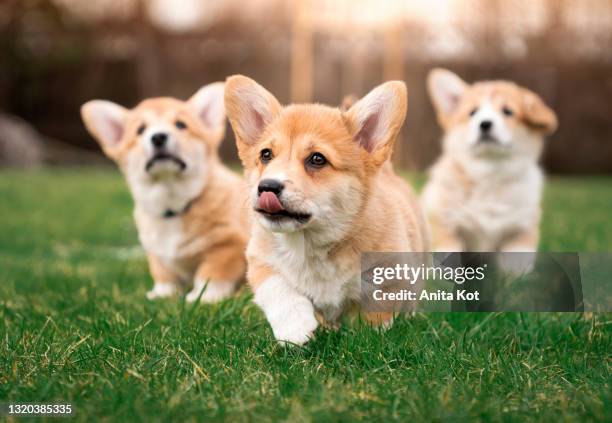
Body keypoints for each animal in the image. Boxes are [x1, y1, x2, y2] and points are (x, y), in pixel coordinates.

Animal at [81, 83, 249, 302]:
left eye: (181, 125)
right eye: (140, 130)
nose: (158, 137)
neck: (172, 203)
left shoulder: (227, 246)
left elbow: (211, 273)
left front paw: (203, 296)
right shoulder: (157, 255)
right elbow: (164, 274)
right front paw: (163, 294)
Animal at [222, 76, 428, 346]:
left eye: (317, 159)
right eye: (266, 155)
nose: (267, 187)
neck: (313, 244)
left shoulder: (389, 273)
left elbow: (375, 312)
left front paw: (368, 337)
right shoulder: (261, 259)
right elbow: (278, 289)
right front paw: (295, 329)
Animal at [424, 69, 556, 253]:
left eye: (507, 111)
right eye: (472, 112)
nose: (485, 124)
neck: (490, 174)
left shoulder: (520, 231)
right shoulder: (446, 226)